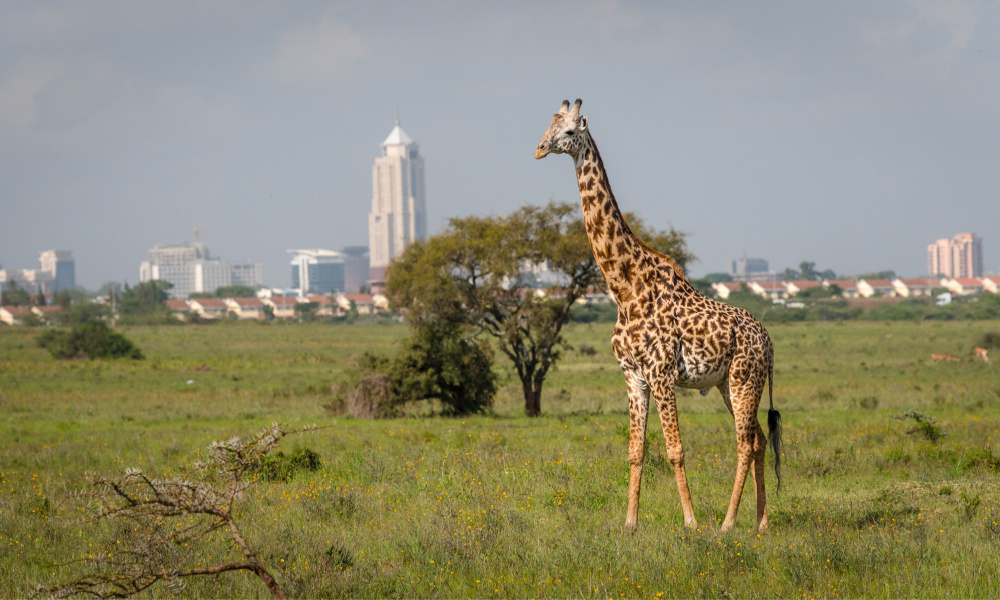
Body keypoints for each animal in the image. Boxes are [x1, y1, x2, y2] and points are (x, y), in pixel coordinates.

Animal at [536, 99, 784, 536]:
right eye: (548, 126)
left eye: (568, 132)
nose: (539, 149)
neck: (625, 287)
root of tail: (768, 342)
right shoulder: (633, 374)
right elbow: (636, 450)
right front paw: (630, 523)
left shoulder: (662, 372)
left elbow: (674, 449)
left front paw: (690, 522)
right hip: (728, 384)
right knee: (757, 439)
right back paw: (761, 522)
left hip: (744, 379)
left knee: (743, 442)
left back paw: (727, 523)